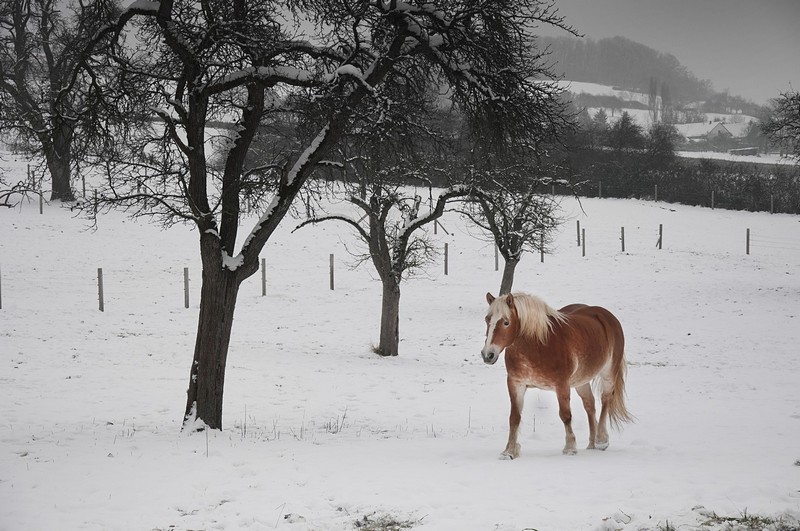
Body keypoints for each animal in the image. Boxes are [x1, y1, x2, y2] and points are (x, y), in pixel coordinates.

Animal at [481, 292, 633, 459]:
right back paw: (591, 444)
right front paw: (509, 451)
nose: (488, 355)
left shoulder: (562, 385)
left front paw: (570, 448)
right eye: (487, 320)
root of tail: (607, 316)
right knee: (590, 404)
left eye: (506, 322)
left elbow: (566, 415)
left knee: (605, 400)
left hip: (608, 372)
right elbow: (514, 418)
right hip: (581, 381)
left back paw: (601, 440)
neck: (538, 344)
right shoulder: (516, 384)